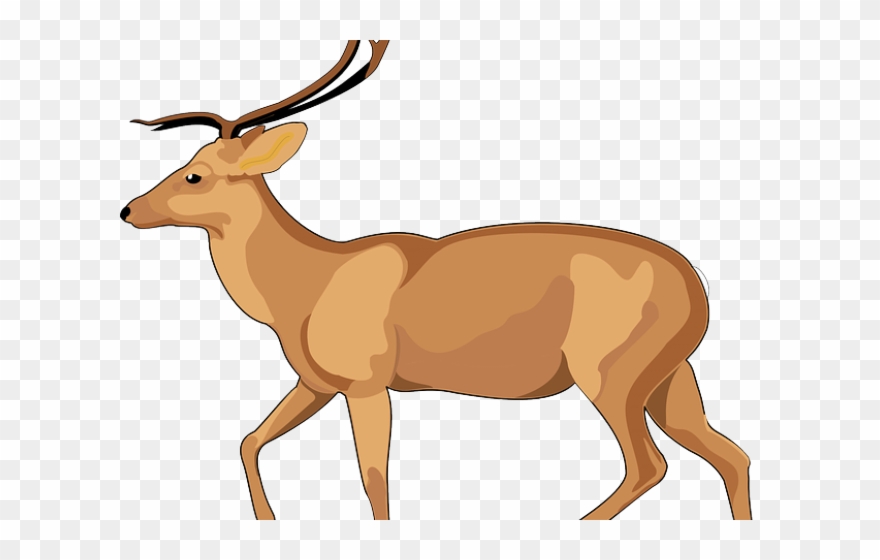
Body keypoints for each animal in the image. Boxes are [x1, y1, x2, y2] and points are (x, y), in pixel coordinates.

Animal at [121, 40, 752, 520]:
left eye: (195, 174)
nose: (128, 210)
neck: (305, 287)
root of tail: (697, 288)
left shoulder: (367, 382)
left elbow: (373, 476)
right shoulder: (317, 382)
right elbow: (250, 440)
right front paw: (266, 521)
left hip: (609, 372)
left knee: (650, 465)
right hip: (670, 376)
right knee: (730, 455)